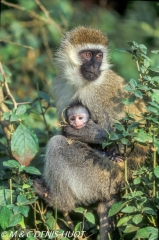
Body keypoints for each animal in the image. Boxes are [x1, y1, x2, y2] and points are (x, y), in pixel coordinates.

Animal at [35, 26, 147, 240]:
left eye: (99, 56)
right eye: (87, 55)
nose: (95, 67)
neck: (82, 83)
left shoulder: (97, 95)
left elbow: (124, 138)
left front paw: (85, 133)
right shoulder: (62, 84)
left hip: (105, 177)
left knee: (58, 145)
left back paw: (61, 202)